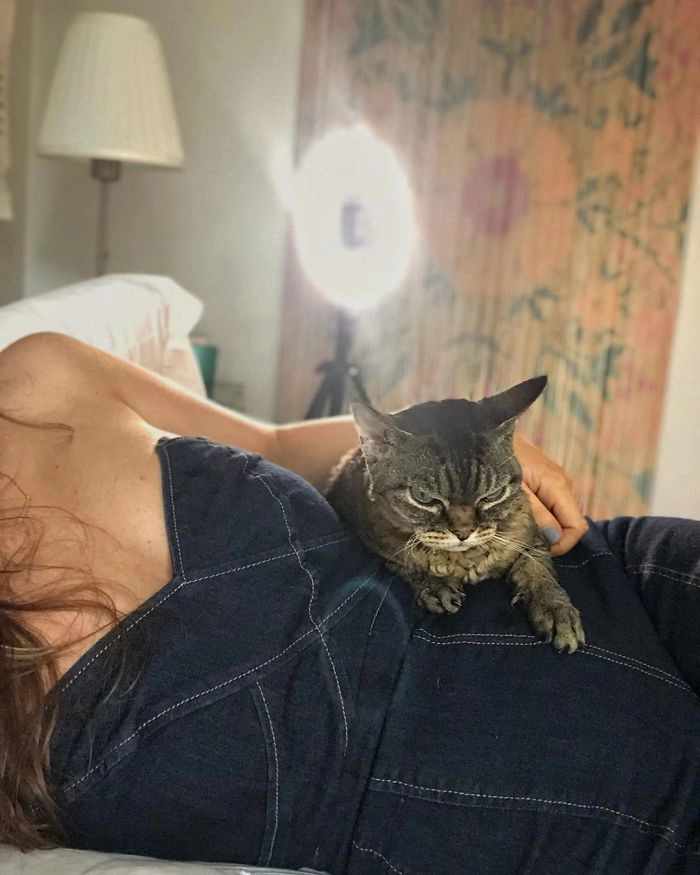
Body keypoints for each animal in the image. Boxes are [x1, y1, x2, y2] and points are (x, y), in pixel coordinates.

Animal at [325, 376, 585, 652]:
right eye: (423, 497)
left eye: (494, 494)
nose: (464, 532)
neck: (465, 561)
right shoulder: (372, 539)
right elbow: (406, 563)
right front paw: (435, 584)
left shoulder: (531, 536)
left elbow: (538, 569)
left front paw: (556, 609)